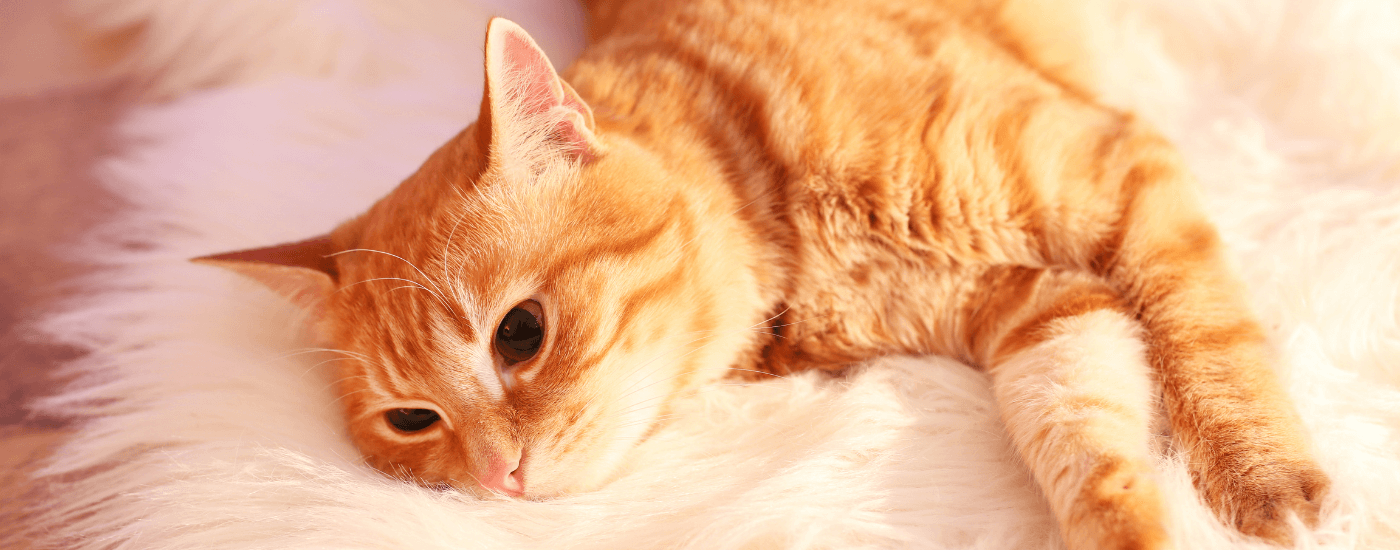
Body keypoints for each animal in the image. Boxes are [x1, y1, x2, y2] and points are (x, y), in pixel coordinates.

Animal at [194, 1, 1321, 548]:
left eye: (519, 333)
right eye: (411, 422)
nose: (492, 479)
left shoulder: (1115, 162)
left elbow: (1205, 332)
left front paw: (1260, 480)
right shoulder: (1036, 308)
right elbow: (1086, 443)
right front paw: (1135, 521)